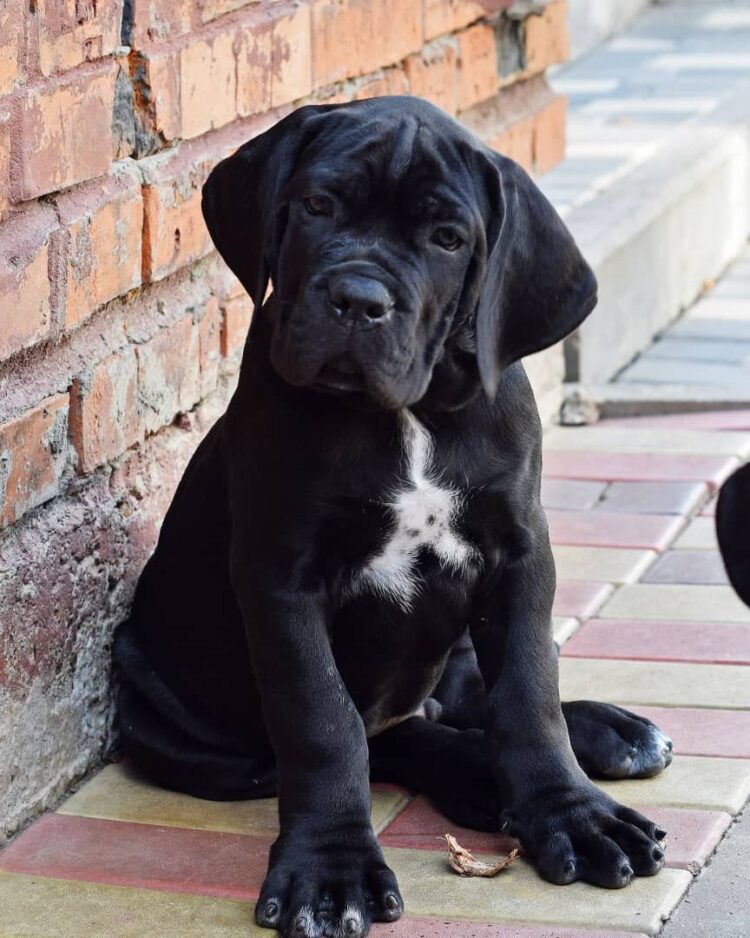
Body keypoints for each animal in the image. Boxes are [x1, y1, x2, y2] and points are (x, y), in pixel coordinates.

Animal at [116, 97, 676, 936]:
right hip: (175, 720)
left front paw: (570, 812)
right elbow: (324, 725)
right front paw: (329, 871)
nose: (357, 299)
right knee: (395, 736)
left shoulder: (519, 553)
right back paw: (479, 775)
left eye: (447, 238)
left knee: (464, 696)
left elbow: (528, 690)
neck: (411, 414)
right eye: (317, 205)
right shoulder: (282, 579)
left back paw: (608, 732)